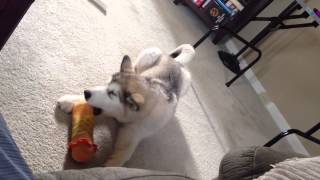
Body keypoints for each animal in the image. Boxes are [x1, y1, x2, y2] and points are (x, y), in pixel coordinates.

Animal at [57, 44, 195, 166]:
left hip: (186, 85)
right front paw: (70, 100)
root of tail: (177, 62)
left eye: (112, 93)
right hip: (152, 52)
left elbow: (123, 156)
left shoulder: (134, 133)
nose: (86, 92)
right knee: (136, 67)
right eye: (107, 85)